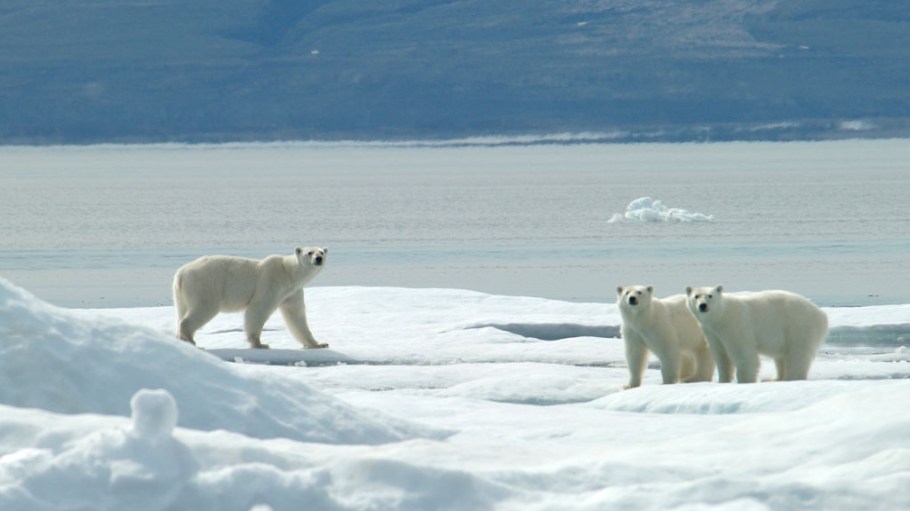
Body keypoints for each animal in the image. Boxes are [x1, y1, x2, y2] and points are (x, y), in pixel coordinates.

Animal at [173, 247, 329, 349]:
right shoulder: (271, 282)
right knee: (204, 308)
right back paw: (190, 339)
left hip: (181, 294)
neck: (288, 273)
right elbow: (258, 309)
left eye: (321, 251)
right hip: (205, 284)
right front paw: (260, 343)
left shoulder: (292, 292)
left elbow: (296, 316)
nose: (318, 258)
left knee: (181, 311)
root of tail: (180, 274)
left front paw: (319, 343)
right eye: (309, 252)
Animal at [685, 285, 828, 383]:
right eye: (696, 296)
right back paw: (774, 378)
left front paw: (745, 380)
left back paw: (791, 378)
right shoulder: (712, 332)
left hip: (799, 326)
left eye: (710, 296)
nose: (703, 305)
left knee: (798, 353)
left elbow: (743, 353)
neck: (720, 316)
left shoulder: (735, 325)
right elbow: (721, 355)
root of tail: (821, 314)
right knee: (781, 355)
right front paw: (723, 380)